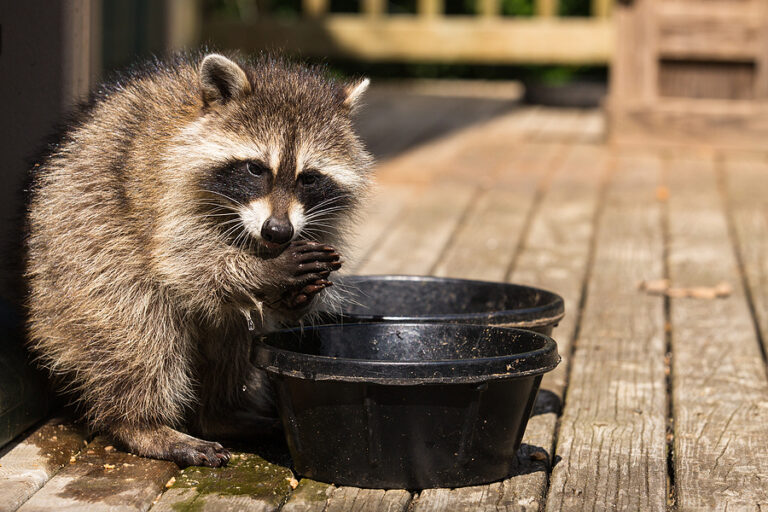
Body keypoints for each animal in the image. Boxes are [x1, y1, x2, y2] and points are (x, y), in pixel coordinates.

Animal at [25, 53, 373, 467]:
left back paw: (221, 413)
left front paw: (296, 298)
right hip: (82, 252)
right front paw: (266, 272)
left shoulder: (317, 221)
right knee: (138, 331)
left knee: (234, 329)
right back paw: (142, 424)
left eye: (309, 178)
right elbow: (185, 264)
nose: (277, 232)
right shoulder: (166, 190)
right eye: (255, 169)